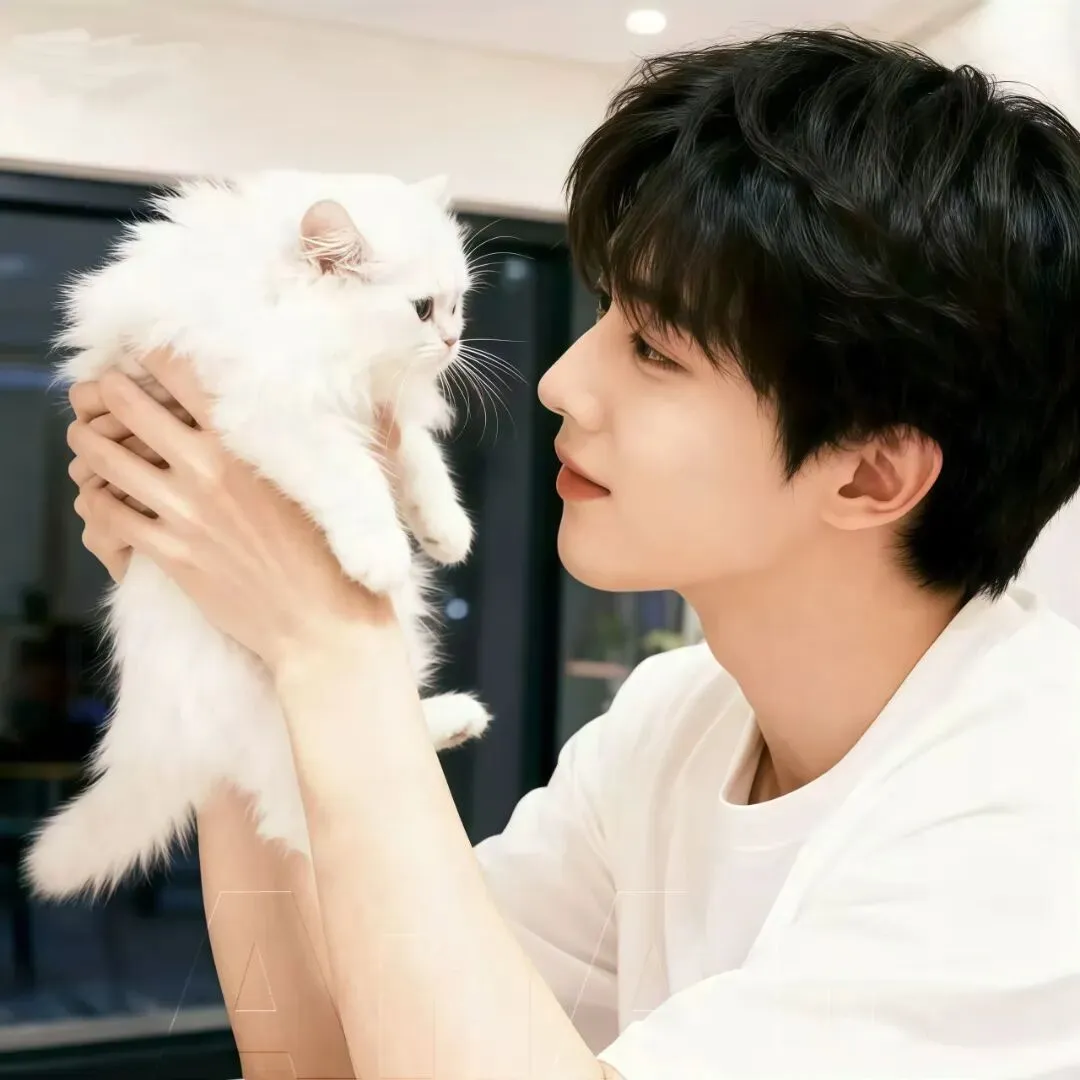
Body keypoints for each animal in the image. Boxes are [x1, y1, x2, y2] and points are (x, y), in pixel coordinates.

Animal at [24, 170, 492, 900]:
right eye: (423, 310)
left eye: (458, 305)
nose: (452, 339)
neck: (280, 311)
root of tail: (148, 734)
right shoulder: (274, 412)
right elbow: (353, 476)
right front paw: (381, 553)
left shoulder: (373, 406)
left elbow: (416, 457)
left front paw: (445, 529)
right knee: (298, 814)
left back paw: (458, 719)